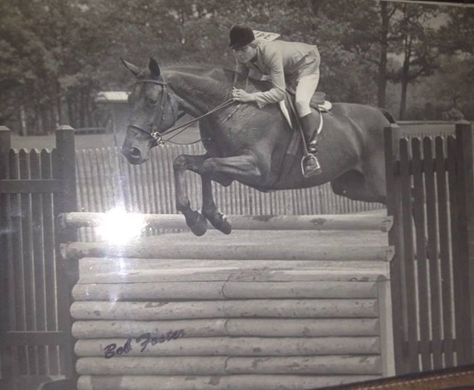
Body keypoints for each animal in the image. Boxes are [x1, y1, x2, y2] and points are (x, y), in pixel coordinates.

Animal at [121, 57, 392, 235]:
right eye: (129, 100)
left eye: (151, 100)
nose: (130, 151)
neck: (228, 109)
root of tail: (384, 116)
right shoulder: (224, 168)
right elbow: (185, 162)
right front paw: (200, 220)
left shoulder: (258, 169)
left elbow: (207, 166)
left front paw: (213, 219)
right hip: (349, 186)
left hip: (378, 182)